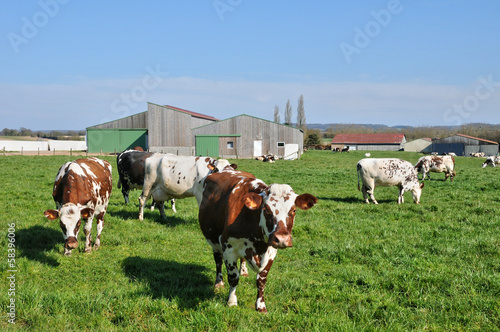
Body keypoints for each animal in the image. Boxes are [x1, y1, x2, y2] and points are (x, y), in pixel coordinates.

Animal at [198, 169, 316, 312]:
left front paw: (260, 306)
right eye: (266, 210)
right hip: (214, 242)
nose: (282, 239)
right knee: (218, 261)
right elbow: (233, 278)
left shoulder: (271, 251)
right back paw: (218, 283)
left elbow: (261, 281)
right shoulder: (228, 248)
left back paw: (244, 271)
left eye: (293, 210)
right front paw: (231, 301)